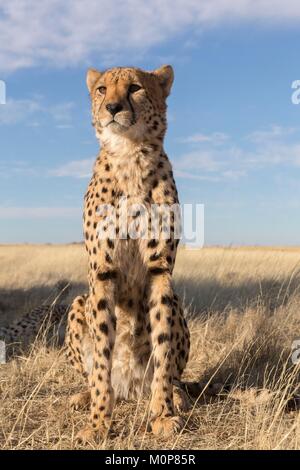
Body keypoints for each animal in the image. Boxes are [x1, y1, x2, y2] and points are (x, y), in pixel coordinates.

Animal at [65, 64, 192, 442]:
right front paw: (98, 423)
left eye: (135, 88)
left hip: (177, 302)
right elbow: (101, 362)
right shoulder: (102, 273)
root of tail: (130, 387)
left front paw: (162, 413)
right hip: (78, 303)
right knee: (93, 372)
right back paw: (85, 395)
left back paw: (176, 396)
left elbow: (163, 351)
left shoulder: (160, 271)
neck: (129, 154)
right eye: (102, 89)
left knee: (174, 374)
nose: (112, 107)